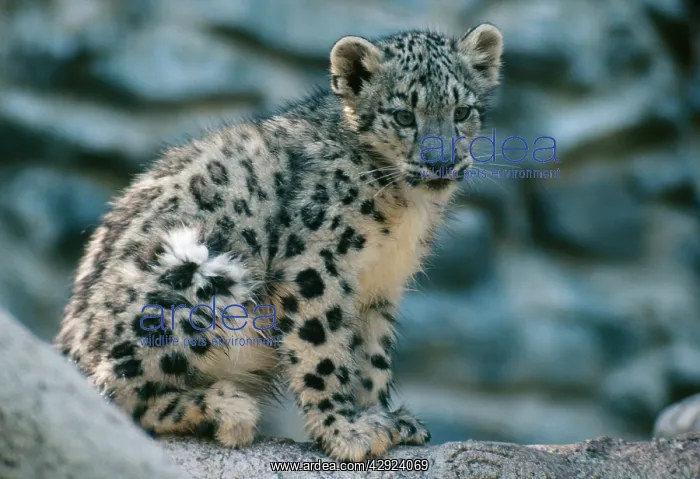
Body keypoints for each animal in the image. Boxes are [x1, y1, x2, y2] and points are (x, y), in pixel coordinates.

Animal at [54, 24, 504, 462]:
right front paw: (345, 432)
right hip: (194, 276)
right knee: (114, 392)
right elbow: (323, 348)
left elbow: (371, 357)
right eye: (403, 115)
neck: (404, 211)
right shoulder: (316, 266)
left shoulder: (380, 286)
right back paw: (226, 409)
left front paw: (383, 418)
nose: (441, 162)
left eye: (462, 111)